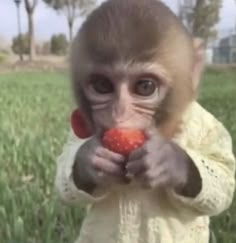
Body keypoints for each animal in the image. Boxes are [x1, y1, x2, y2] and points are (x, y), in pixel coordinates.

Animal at [54, 0, 234, 243]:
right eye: (102, 85)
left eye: (145, 86)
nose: (119, 113)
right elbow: (65, 177)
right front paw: (90, 159)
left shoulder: (204, 122)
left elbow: (224, 178)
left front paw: (168, 160)